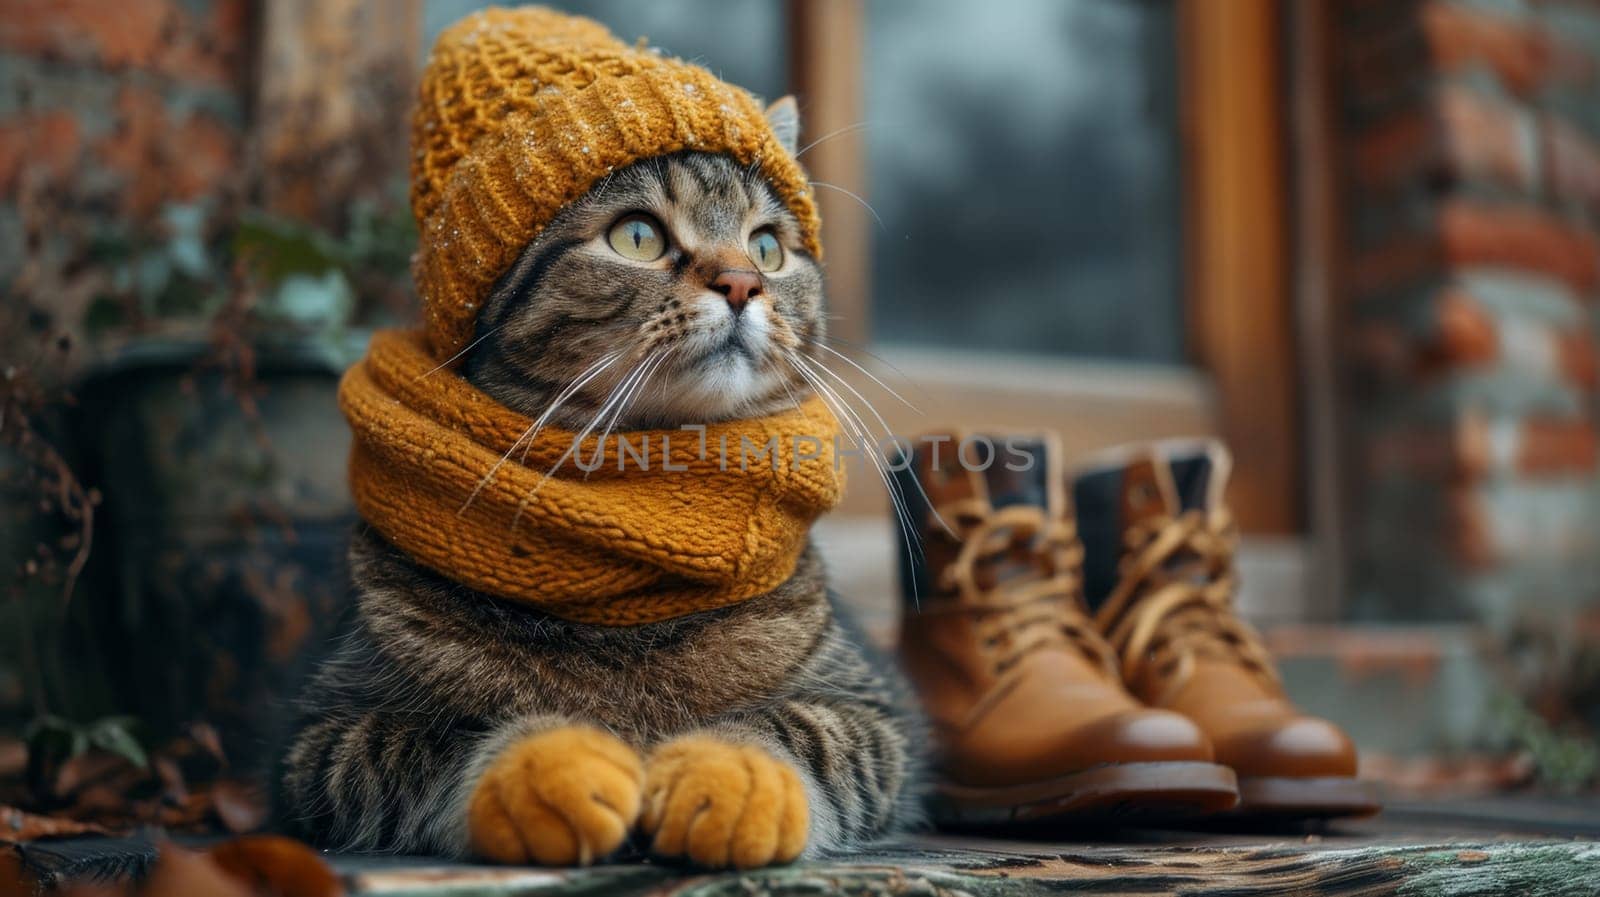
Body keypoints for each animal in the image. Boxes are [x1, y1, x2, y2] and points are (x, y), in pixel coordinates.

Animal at [281, 104, 921, 869]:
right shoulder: (319, 740)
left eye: (767, 247)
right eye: (637, 236)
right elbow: (434, 745)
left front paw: (731, 777)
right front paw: (548, 767)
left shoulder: (875, 714)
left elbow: (796, 732)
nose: (744, 282)